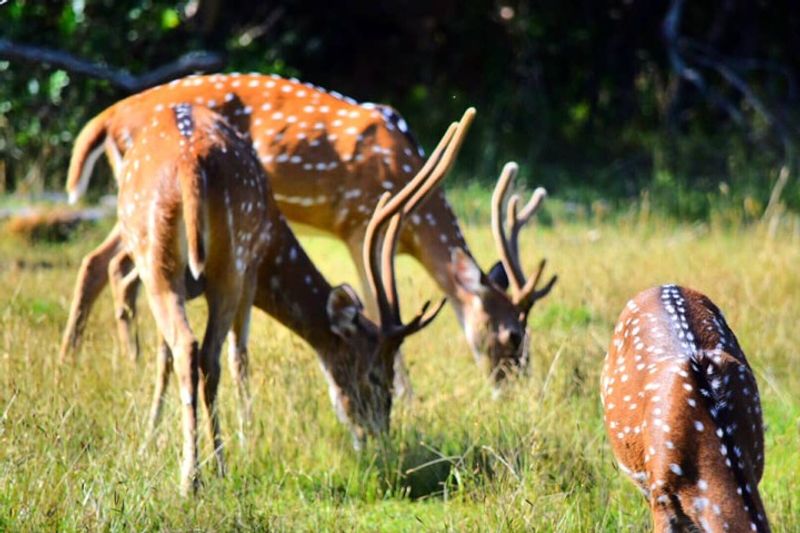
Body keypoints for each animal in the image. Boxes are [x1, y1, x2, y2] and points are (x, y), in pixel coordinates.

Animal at [59, 71, 556, 390]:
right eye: (512, 336)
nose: (515, 389)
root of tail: (109, 117)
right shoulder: (359, 222)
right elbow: (376, 304)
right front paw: (405, 396)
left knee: (106, 266)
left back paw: (106, 362)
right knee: (105, 266)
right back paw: (78, 362)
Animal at [115, 100, 472, 490]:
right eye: (376, 374)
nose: (378, 436)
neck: (274, 239)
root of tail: (189, 163)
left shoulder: (245, 270)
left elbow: (195, 357)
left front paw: (161, 440)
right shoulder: (247, 270)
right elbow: (211, 356)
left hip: (182, 262)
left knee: (193, 348)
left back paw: (198, 474)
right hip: (205, 261)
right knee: (201, 351)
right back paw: (207, 469)